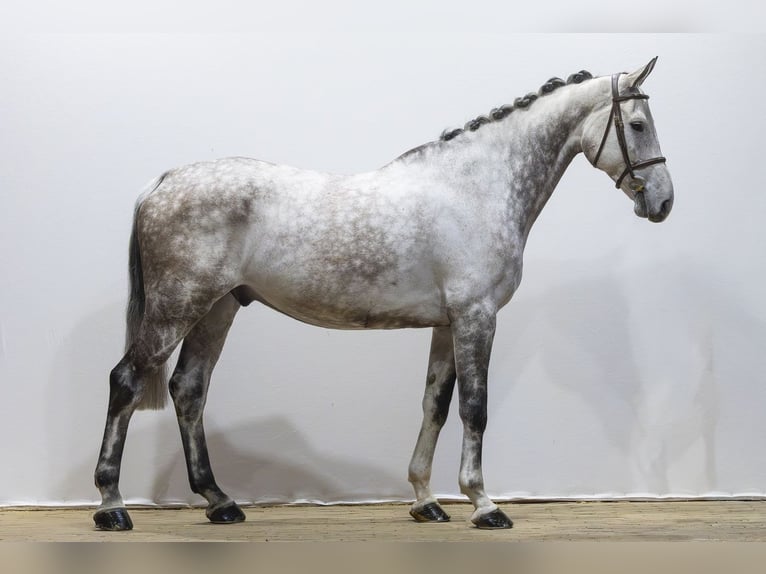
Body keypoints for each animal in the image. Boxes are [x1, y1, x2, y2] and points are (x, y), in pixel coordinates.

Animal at [93, 58, 673, 531]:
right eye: (638, 125)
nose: (663, 202)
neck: (476, 187)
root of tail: (164, 181)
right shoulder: (476, 316)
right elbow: (475, 408)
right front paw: (483, 504)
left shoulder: (446, 323)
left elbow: (435, 404)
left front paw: (425, 500)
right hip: (178, 306)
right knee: (126, 381)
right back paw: (112, 506)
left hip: (217, 308)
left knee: (189, 390)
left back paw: (219, 501)